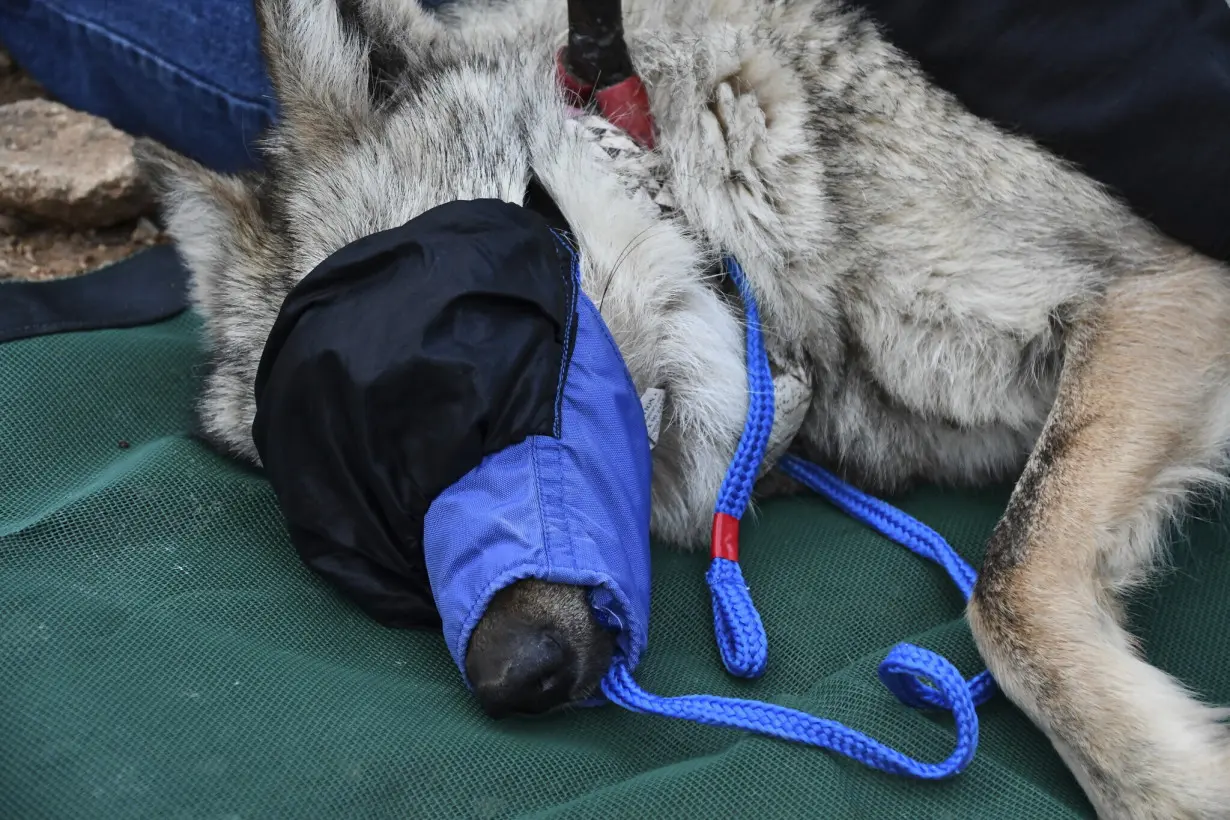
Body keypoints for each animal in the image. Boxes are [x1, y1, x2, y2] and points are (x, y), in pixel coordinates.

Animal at [137, 0, 1230, 816]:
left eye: (440, 395)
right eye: (367, 542)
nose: (507, 677)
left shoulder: (1157, 291)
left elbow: (1005, 592)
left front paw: (1169, 782)